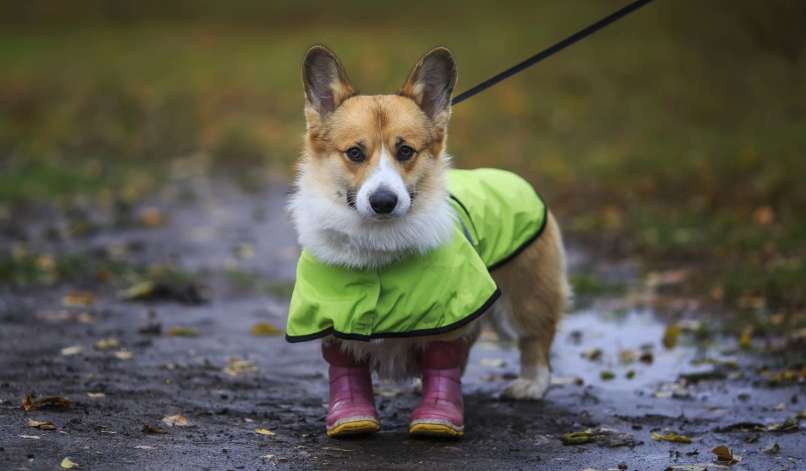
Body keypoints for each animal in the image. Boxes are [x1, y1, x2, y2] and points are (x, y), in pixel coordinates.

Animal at [288, 45, 572, 438]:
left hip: (527, 292)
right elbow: (347, 368)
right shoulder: (334, 318)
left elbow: (444, 359)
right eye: (355, 153)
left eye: (405, 151)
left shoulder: (452, 310)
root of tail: (511, 176)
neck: (377, 246)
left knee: (536, 337)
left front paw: (438, 415)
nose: (384, 201)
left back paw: (531, 384)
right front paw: (351, 417)